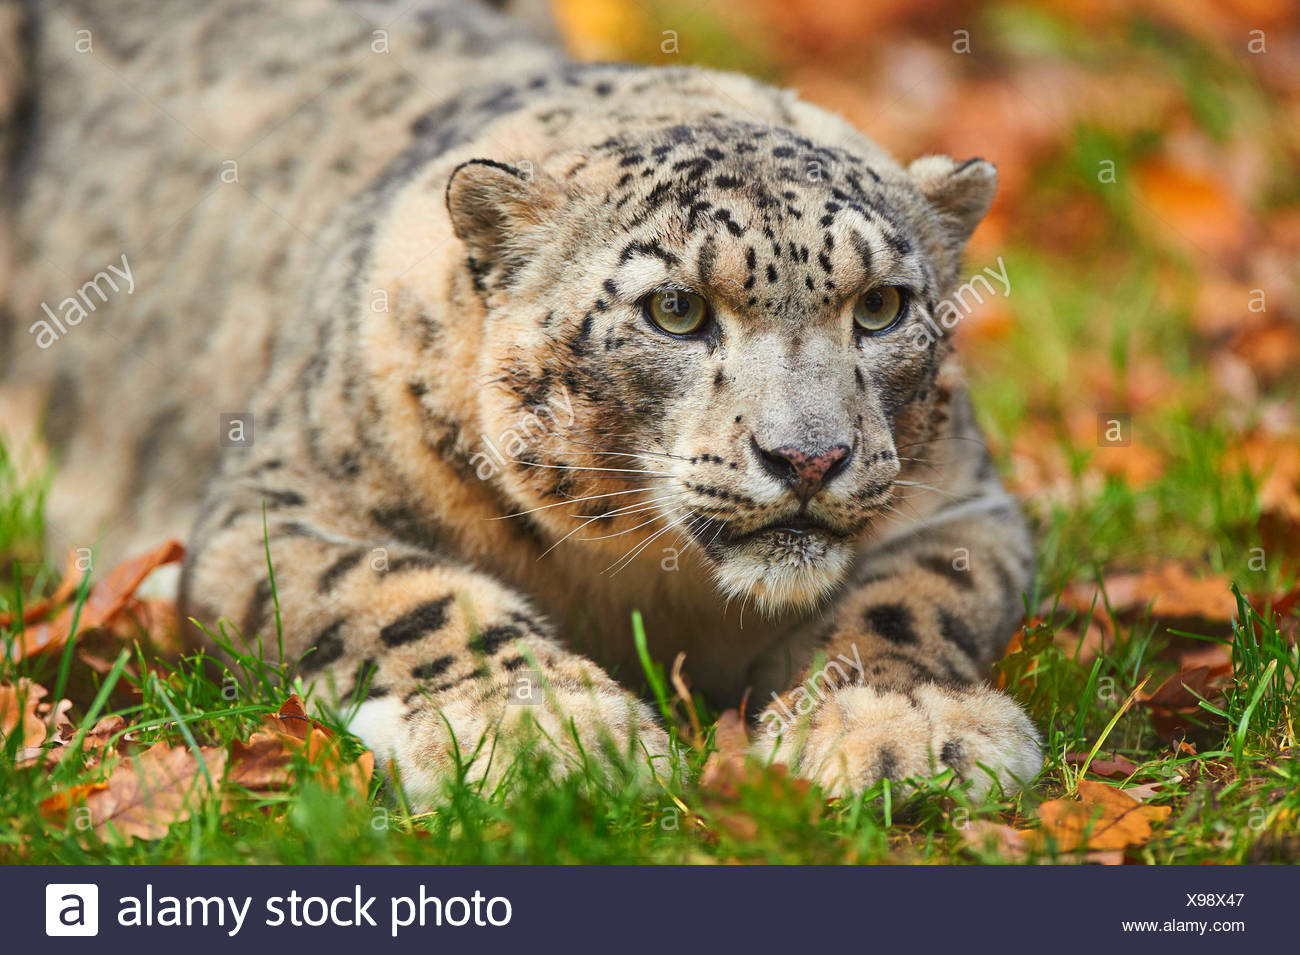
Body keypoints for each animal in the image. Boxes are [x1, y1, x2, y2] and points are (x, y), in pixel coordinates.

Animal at [1, 0, 1042, 808]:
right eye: (675, 310)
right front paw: (551, 730)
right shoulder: (273, 509)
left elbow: (918, 594)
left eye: (881, 307)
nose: (810, 458)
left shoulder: (964, 502)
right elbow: (406, 591)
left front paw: (905, 725)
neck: (652, 584)